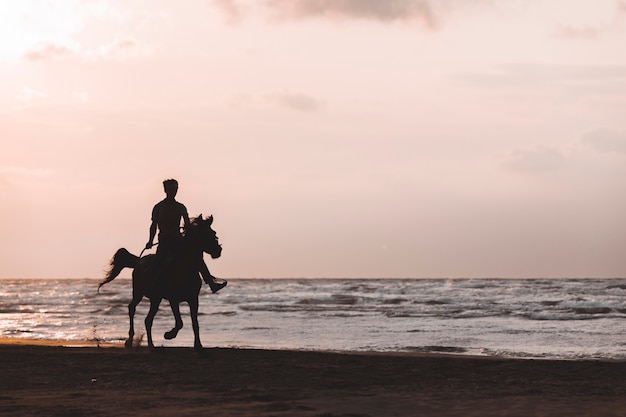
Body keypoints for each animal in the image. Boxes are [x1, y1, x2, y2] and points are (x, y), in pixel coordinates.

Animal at [97, 214, 222, 348]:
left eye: (213, 232)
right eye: (208, 234)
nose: (218, 250)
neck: (184, 267)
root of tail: (139, 261)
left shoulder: (193, 299)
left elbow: (195, 324)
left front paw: (198, 345)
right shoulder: (173, 299)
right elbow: (180, 322)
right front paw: (169, 335)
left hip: (156, 299)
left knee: (148, 320)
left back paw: (151, 345)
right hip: (138, 293)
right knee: (132, 308)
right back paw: (130, 340)